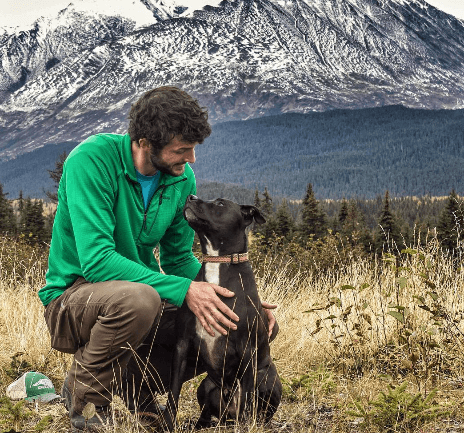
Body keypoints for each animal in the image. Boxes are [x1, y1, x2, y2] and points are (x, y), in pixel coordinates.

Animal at [163, 195, 282, 430]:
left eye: (219, 204)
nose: (190, 197)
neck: (218, 263)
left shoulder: (247, 349)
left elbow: (247, 397)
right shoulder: (182, 344)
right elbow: (174, 392)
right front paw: (169, 424)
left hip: (267, 378)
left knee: (255, 407)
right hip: (207, 386)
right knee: (207, 411)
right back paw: (200, 424)